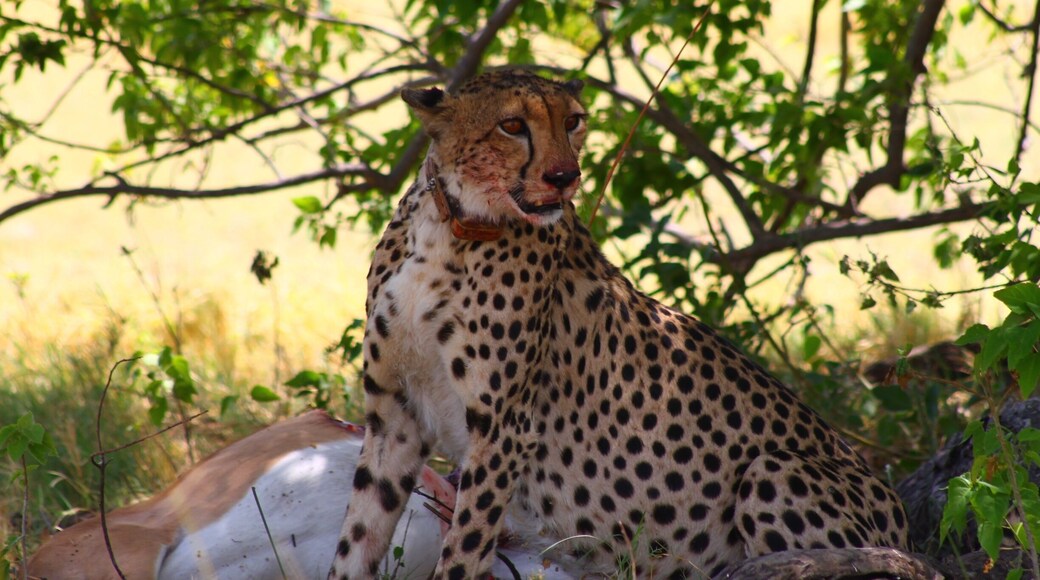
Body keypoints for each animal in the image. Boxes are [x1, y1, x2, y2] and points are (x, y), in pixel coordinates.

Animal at [328, 69, 909, 580]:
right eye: (512, 125)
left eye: (573, 121)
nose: (565, 177)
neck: (451, 226)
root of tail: (903, 526)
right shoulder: (394, 413)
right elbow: (357, 538)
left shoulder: (503, 430)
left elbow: (464, 550)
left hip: (775, 469)